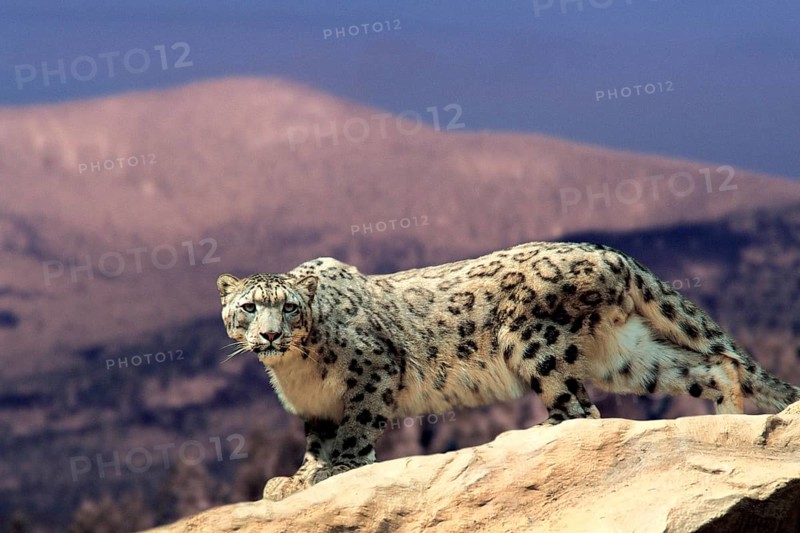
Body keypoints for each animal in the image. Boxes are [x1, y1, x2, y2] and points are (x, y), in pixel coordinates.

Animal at [216, 240, 800, 501]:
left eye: (290, 309)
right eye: (249, 308)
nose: (270, 335)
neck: (296, 371)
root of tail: (612, 253)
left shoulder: (372, 371)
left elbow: (357, 431)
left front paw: (336, 472)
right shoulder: (314, 409)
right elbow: (316, 445)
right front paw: (296, 480)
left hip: (531, 341)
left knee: (580, 407)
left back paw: (530, 432)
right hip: (628, 355)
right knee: (714, 366)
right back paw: (729, 425)